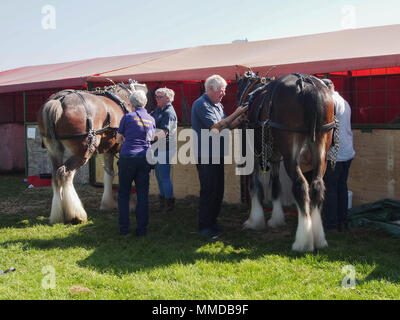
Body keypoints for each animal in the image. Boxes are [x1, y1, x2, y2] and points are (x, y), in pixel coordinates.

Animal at [38, 81, 148, 224]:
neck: (126, 99)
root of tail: (58, 101)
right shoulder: (123, 149)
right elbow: (124, 174)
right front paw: (130, 204)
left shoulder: (108, 150)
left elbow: (109, 174)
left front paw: (107, 203)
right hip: (83, 152)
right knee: (65, 173)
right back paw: (76, 215)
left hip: (54, 151)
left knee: (55, 174)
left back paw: (58, 215)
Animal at [238, 71, 338, 251]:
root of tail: (307, 83)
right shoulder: (275, 157)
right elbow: (276, 186)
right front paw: (276, 219)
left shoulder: (254, 154)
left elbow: (255, 186)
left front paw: (254, 220)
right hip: (321, 150)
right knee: (317, 186)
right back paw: (318, 238)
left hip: (291, 156)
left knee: (301, 187)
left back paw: (302, 242)